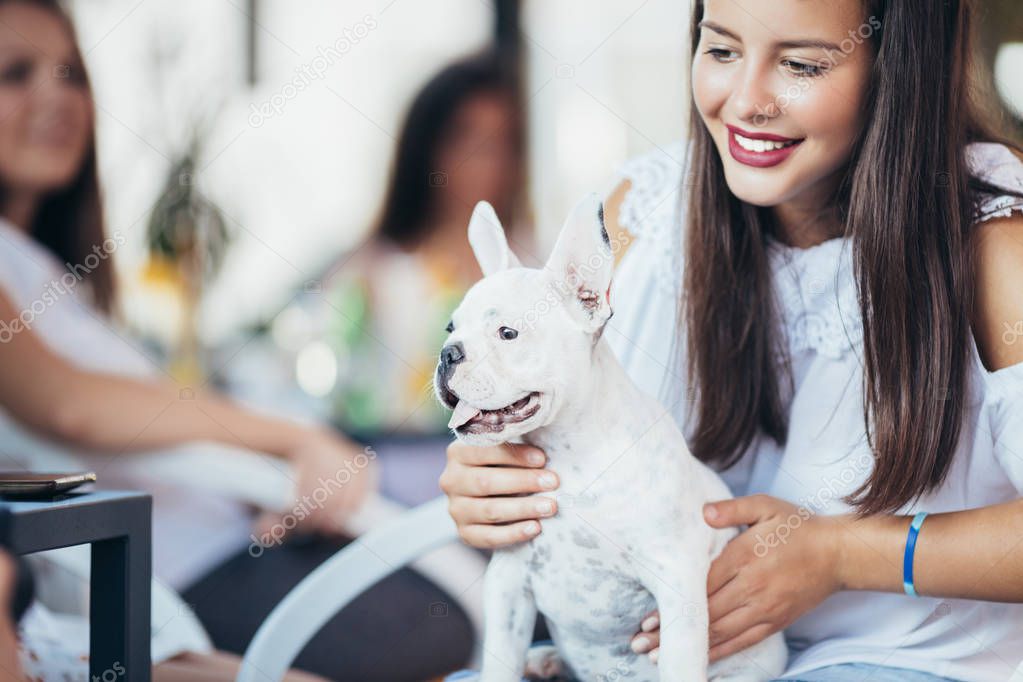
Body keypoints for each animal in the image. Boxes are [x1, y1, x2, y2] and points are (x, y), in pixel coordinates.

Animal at [435, 194, 785, 678]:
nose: (448, 354)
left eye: (508, 333)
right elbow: (499, 662)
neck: (570, 457)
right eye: (451, 329)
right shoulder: (508, 585)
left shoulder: (676, 590)